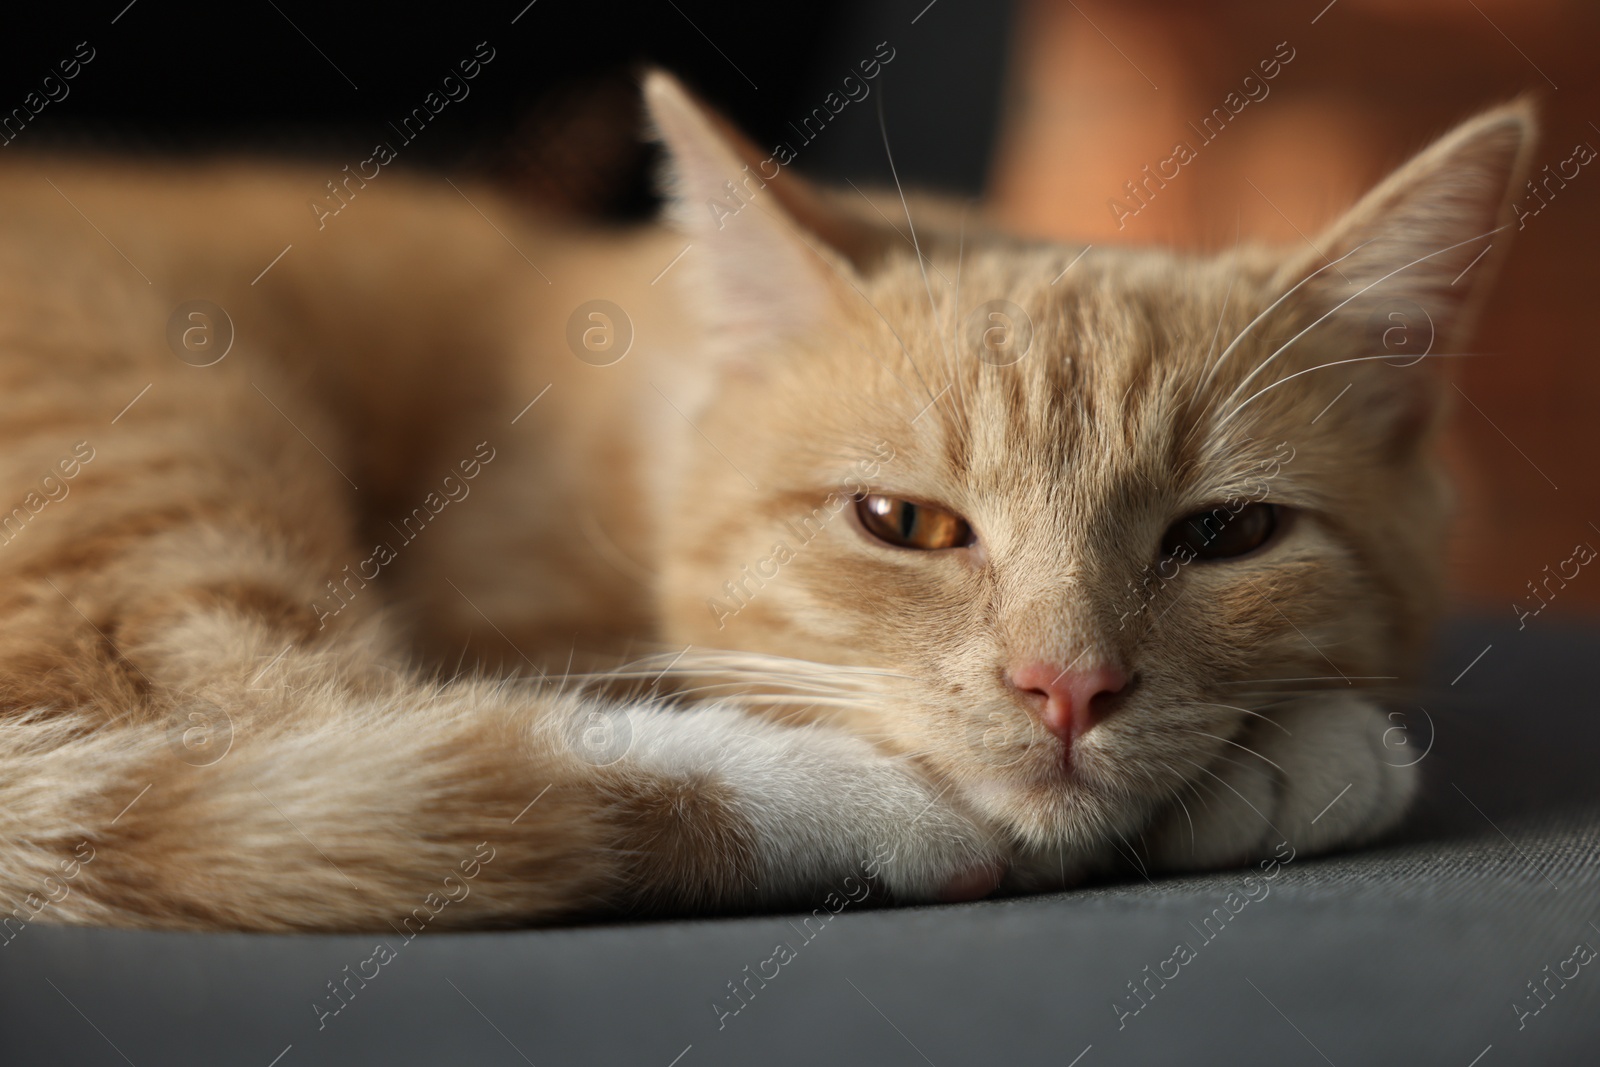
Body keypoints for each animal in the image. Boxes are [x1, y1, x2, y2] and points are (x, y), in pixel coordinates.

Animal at [0, 75, 1529, 927]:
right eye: (905, 525)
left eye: (1224, 535)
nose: (1067, 687)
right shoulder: (511, 597)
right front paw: (1296, 760)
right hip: (165, 428)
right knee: (279, 718)